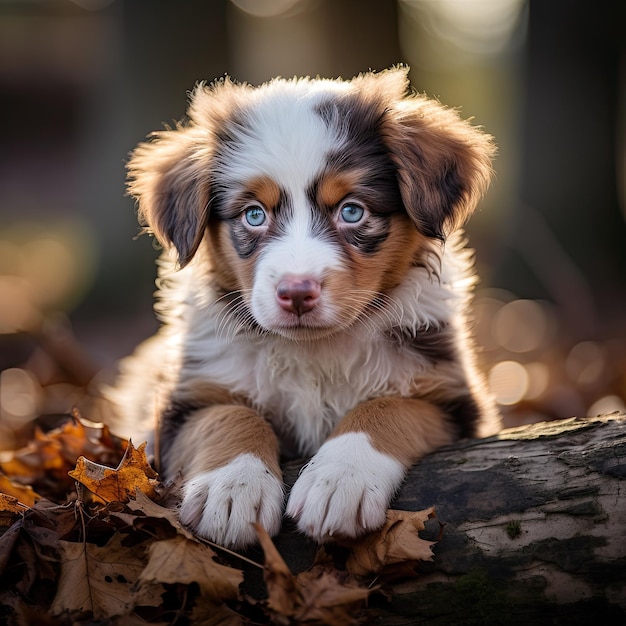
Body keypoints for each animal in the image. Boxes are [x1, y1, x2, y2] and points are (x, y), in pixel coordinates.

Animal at [105, 67, 500, 544]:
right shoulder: (182, 405)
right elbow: (229, 413)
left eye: (352, 211)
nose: (296, 293)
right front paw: (232, 486)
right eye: (254, 215)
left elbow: (388, 407)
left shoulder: (452, 399)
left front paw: (340, 480)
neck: (314, 351)